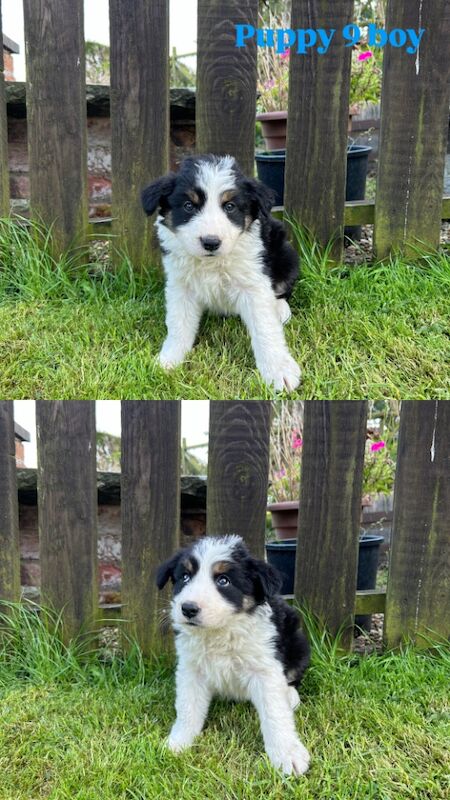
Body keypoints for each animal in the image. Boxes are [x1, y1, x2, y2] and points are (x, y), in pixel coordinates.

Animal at [142, 155, 300, 392]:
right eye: (188, 206)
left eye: (230, 206)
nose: (210, 242)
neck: (212, 263)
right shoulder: (180, 285)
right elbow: (179, 324)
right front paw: (168, 360)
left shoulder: (253, 284)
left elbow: (265, 328)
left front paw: (279, 371)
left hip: (286, 256)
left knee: (282, 290)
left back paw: (280, 309)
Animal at [157, 536, 310, 776]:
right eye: (185, 577)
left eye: (223, 581)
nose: (188, 608)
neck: (220, 631)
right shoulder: (191, 669)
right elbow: (187, 708)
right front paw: (178, 743)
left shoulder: (264, 669)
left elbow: (275, 713)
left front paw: (287, 754)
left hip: (298, 645)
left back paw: (291, 696)